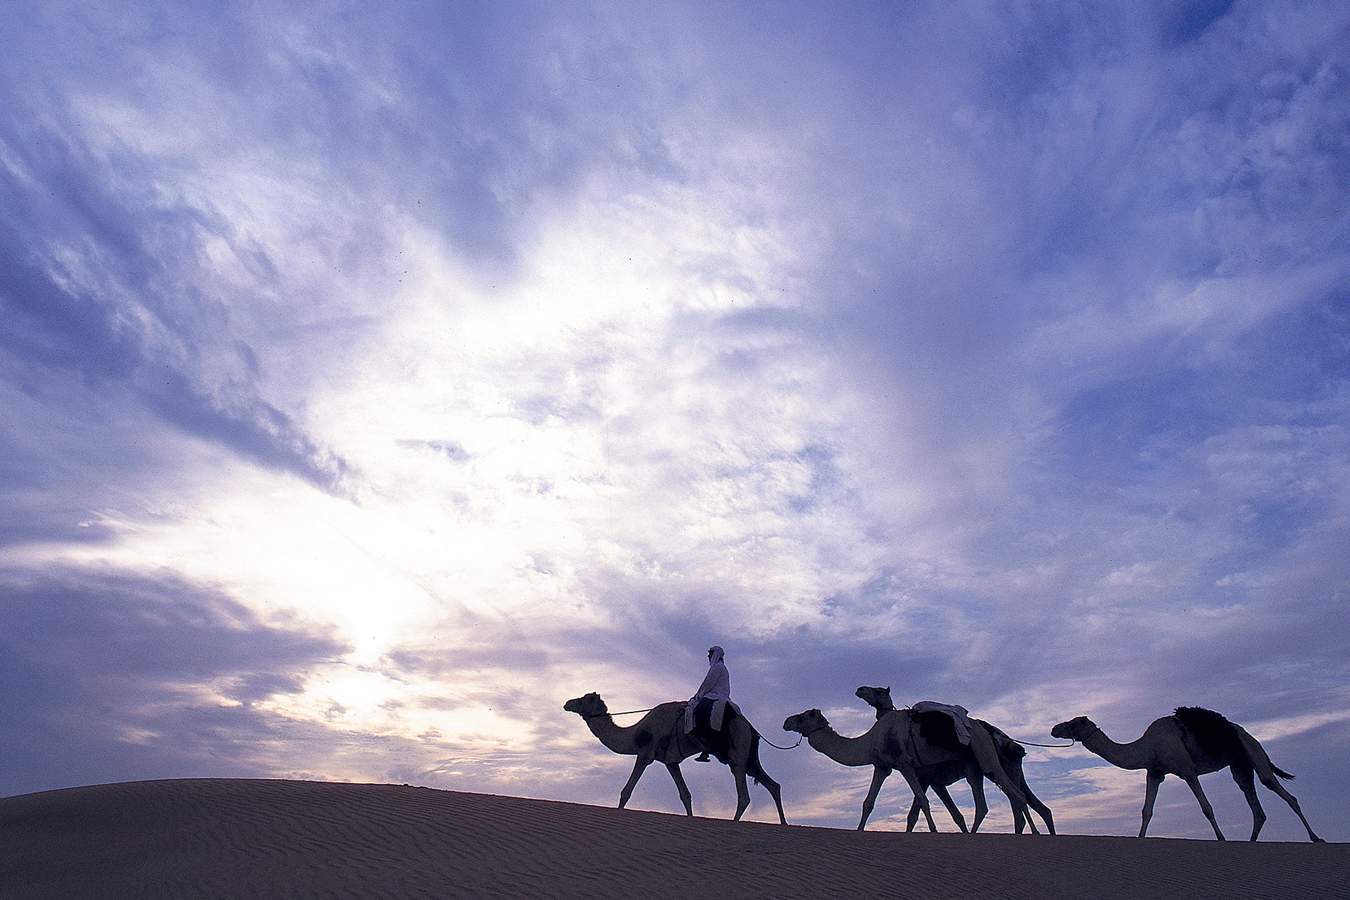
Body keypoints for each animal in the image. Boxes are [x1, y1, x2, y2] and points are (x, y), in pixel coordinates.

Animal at [564, 692, 787, 824]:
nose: (566, 703)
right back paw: (784, 823)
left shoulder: (645, 754)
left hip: (737, 754)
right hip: (747, 757)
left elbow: (626, 791)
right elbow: (685, 795)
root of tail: (750, 727)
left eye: (583, 699)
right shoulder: (671, 762)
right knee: (773, 784)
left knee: (744, 795)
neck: (638, 733)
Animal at [783, 707, 1028, 831]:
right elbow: (868, 803)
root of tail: (984, 727)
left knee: (1016, 794)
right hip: (972, 765)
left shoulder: (904, 763)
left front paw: (934, 832)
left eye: (804, 716)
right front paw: (859, 830)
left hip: (984, 753)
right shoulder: (882, 766)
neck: (871, 739)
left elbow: (922, 802)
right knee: (983, 804)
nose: (786, 722)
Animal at [855, 686, 1055, 835]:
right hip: (999, 769)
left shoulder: (925, 777)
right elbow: (949, 814)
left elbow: (916, 813)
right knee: (1030, 805)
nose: (860, 689)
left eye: (879, 691)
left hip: (994, 764)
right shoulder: (933, 781)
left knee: (1016, 798)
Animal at [1052, 707, 1324, 842]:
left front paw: (1221, 838)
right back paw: (1252, 841)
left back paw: (1316, 838)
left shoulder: (1187, 770)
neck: (1148, 745)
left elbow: (1207, 808)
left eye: (1073, 723)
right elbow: (1146, 811)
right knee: (1254, 802)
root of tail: (1247, 734)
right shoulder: (1155, 772)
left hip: (1253, 752)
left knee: (1280, 790)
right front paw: (1139, 839)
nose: (1054, 728)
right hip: (1240, 765)